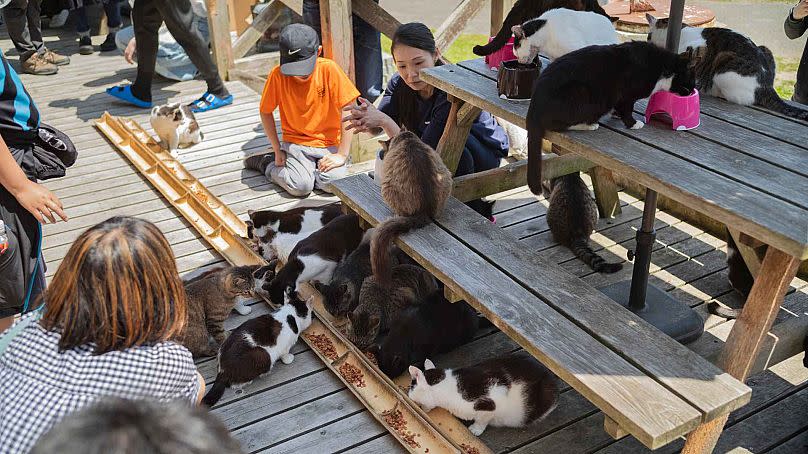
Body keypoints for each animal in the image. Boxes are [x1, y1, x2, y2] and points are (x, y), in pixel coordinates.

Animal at [524, 39, 696, 193]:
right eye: (691, 79)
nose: (692, 90)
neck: (661, 67)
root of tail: (534, 106)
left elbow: (619, 108)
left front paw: (616, 115)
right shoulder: (626, 95)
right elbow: (627, 110)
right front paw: (633, 123)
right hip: (582, 93)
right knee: (559, 124)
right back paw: (589, 125)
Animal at [644, 13, 808, 120]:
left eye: (649, 36)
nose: (648, 41)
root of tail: (767, 86)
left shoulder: (698, 48)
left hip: (723, 68)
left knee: (741, 99)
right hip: (766, 49)